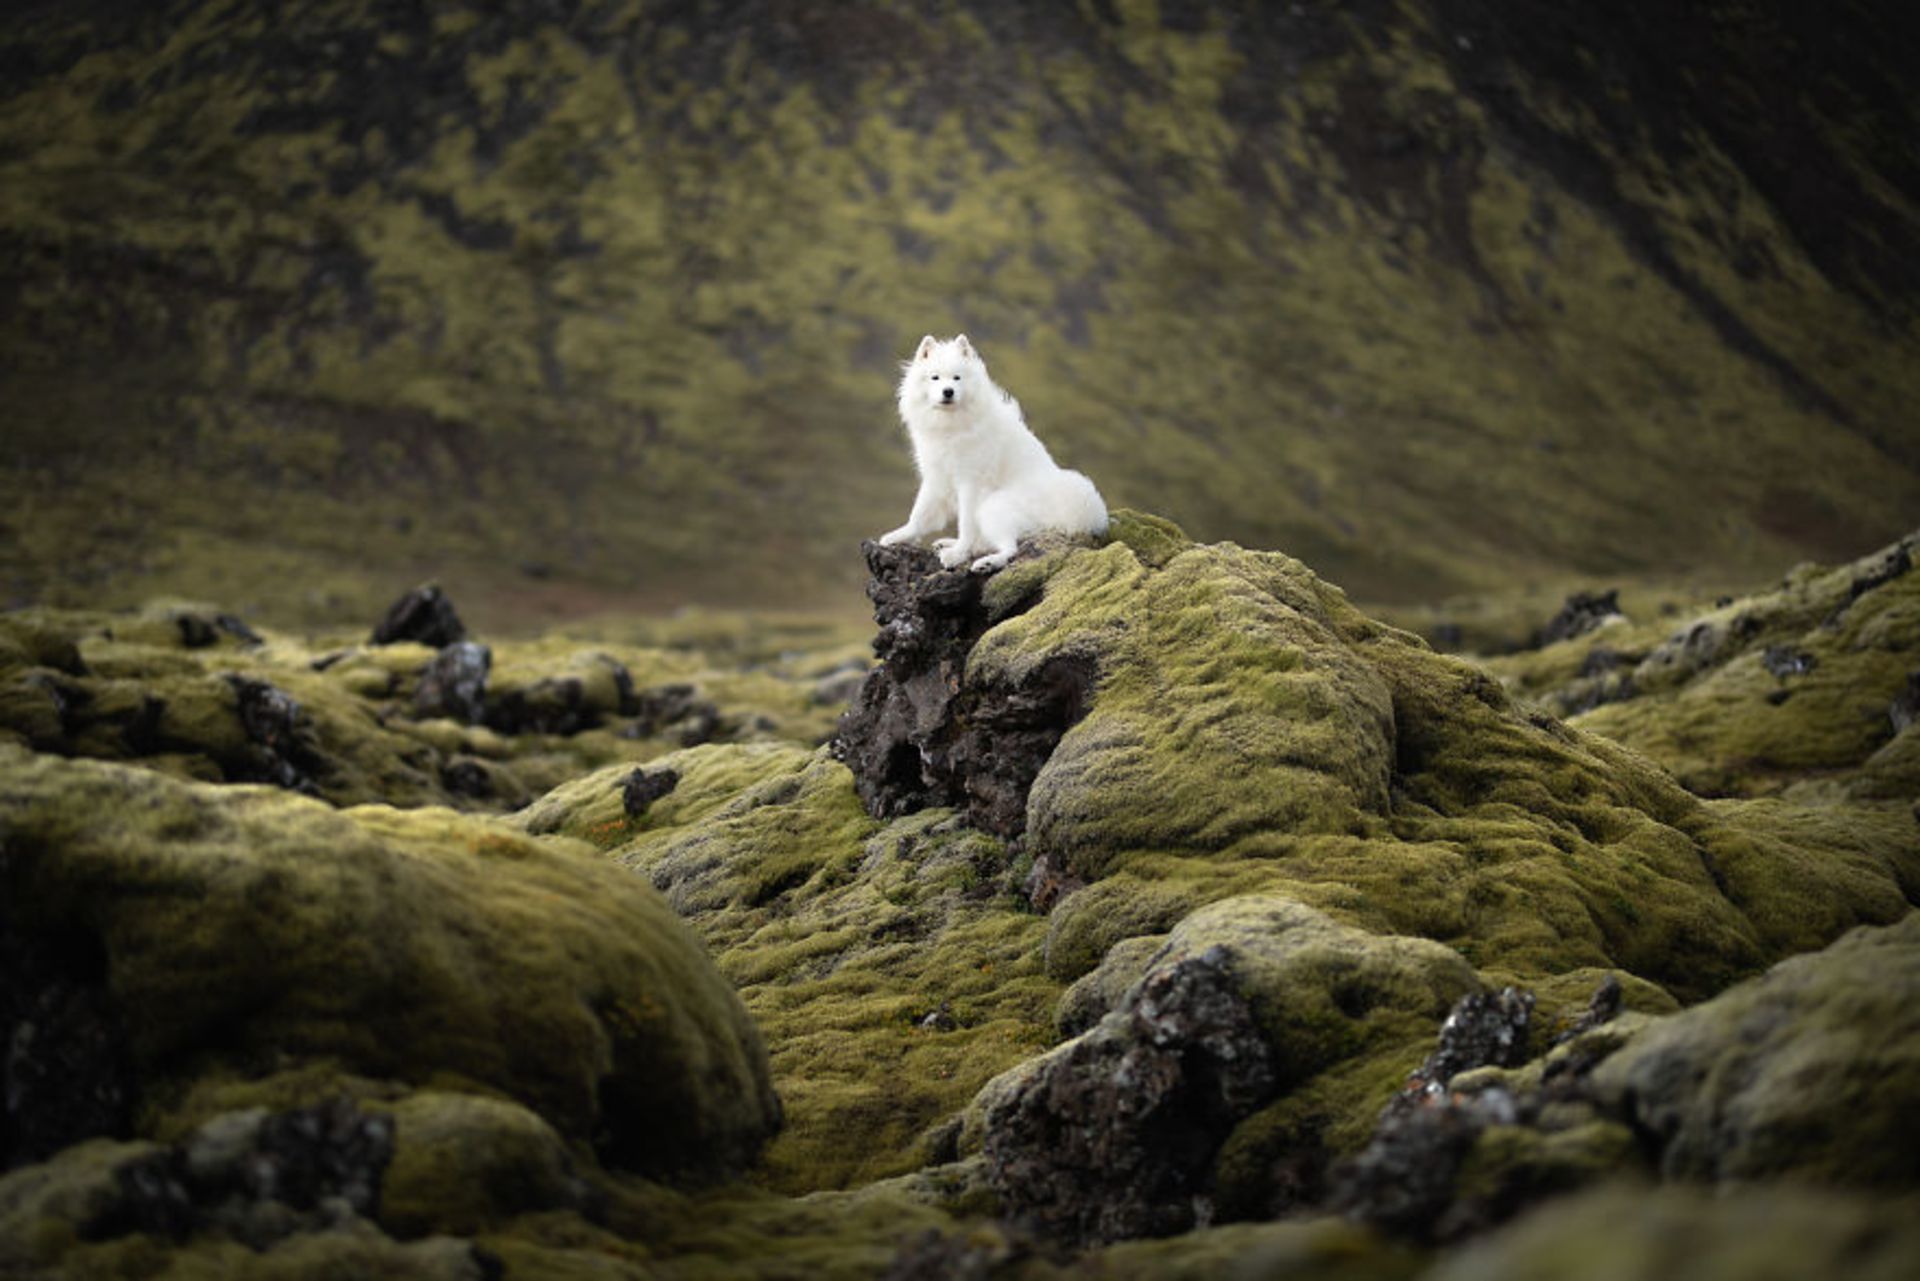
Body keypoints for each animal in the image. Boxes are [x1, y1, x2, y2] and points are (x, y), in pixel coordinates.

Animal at [875, 334, 1105, 572]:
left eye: (957, 378)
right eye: (935, 378)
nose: (948, 391)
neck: (951, 426)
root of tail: (1072, 515)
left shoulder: (970, 483)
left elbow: (965, 525)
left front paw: (958, 554)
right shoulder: (936, 478)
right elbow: (919, 514)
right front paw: (899, 536)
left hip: (992, 507)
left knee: (1010, 549)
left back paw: (984, 562)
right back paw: (950, 544)